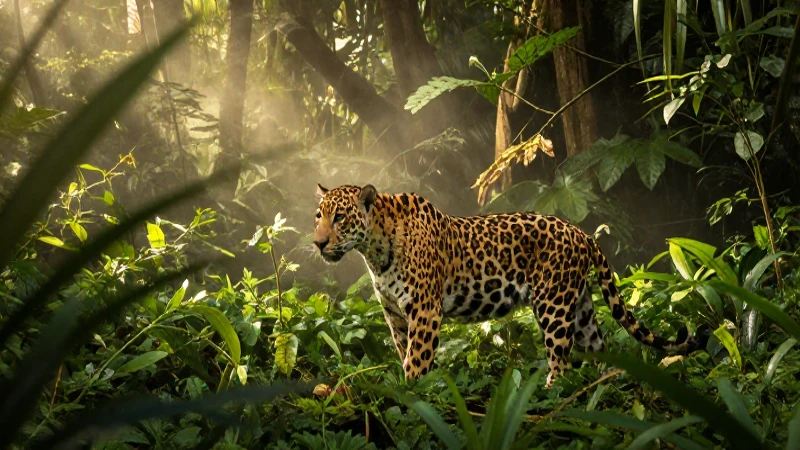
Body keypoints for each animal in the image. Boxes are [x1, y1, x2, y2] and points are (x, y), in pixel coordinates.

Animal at [312, 183, 710, 387]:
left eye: (340, 217)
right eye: (318, 216)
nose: (317, 243)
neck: (374, 250)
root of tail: (581, 232)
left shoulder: (424, 311)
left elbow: (417, 360)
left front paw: (413, 394)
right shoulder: (394, 314)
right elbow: (403, 352)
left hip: (553, 305)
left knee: (560, 363)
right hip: (580, 307)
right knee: (599, 347)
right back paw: (596, 392)